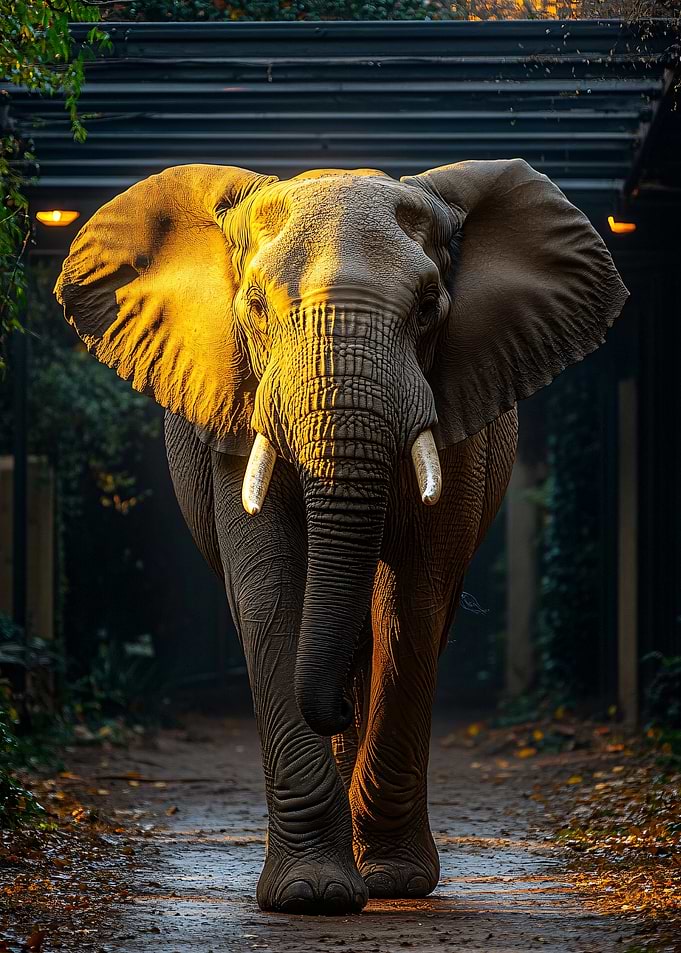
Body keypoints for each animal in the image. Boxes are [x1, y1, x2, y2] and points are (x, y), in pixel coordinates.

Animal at [55, 159, 628, 916]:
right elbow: (272, 589)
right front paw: (314, 894)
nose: (331, 711)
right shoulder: (237, 414)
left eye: (427, 308)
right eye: (256, 309)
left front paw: (390, 882)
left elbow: (412, 599)